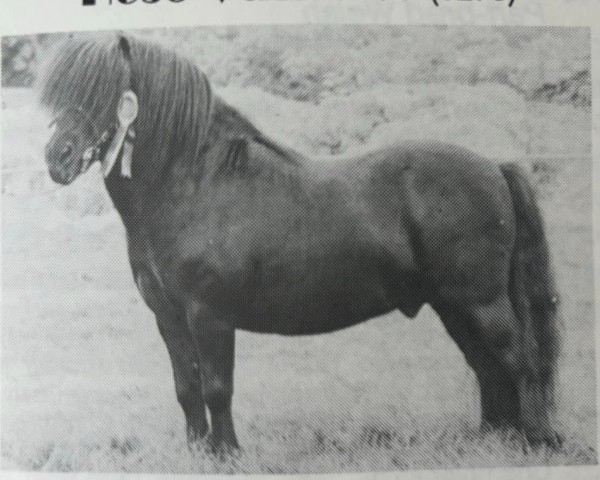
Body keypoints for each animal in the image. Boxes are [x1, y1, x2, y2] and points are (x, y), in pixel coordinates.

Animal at [39, 31, 560, 452]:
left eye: (106, 90)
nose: (57, 157)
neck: (192, 187)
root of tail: (494, 166)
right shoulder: (168, 316)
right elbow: (186, 387)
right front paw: (198, 452)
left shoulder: (210, 314)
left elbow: (216, 387)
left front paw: (227, 455)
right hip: (453, 304)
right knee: (487, 365)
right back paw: (493, 439)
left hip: (480, 301)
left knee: (518, 360)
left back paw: (536, 441)